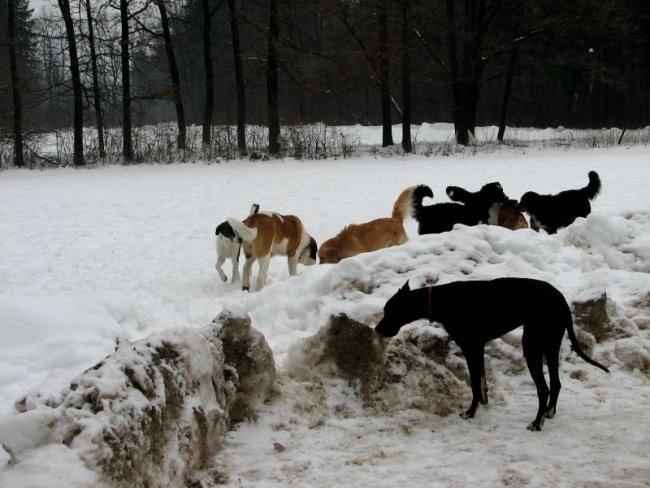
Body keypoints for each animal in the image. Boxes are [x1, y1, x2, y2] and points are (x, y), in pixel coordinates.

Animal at [374, 278, 608, 430]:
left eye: (389, 311)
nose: (377, 329)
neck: (440, 300)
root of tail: (562, 301)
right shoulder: (478, 347)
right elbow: (482, 380)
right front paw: (483, 401)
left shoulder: (469, 347)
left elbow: (474, 383)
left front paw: (470, 412)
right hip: (550, 345)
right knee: (556, 383)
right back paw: (548, 414)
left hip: (532, 346)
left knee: (544, 388)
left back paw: (536, 422)